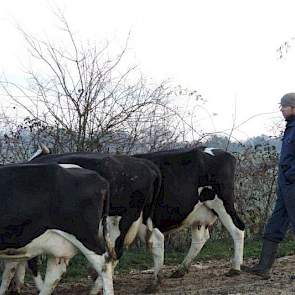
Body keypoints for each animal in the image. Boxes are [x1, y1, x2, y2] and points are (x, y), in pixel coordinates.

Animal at [135, 147, 246, 278]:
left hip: (223, 202)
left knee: (238, 228)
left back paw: (235, 268)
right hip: (200, 214)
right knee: (200, 239)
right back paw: (181, 269)